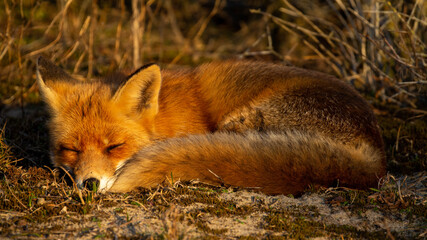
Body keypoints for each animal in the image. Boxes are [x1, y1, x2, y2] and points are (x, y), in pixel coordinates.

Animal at [35, 56, 386, 195]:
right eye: (70, 149)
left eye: (114, 147)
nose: (90, 184)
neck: (165, 116)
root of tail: (377, 161)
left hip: (239, 126)